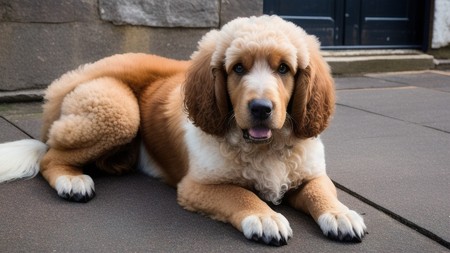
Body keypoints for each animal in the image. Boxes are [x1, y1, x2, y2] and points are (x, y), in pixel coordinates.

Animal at [0, 15, 366, 245]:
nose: (261, 109)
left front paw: (341, 214)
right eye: (237, 69)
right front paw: (265, 218)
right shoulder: (197, 186)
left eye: (284, 69)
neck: (264, 147)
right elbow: (242, 194)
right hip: (117, 109)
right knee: (49, 157)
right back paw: (73, 181)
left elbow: (322, 191)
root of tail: (66, 84)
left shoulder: (311, 172)